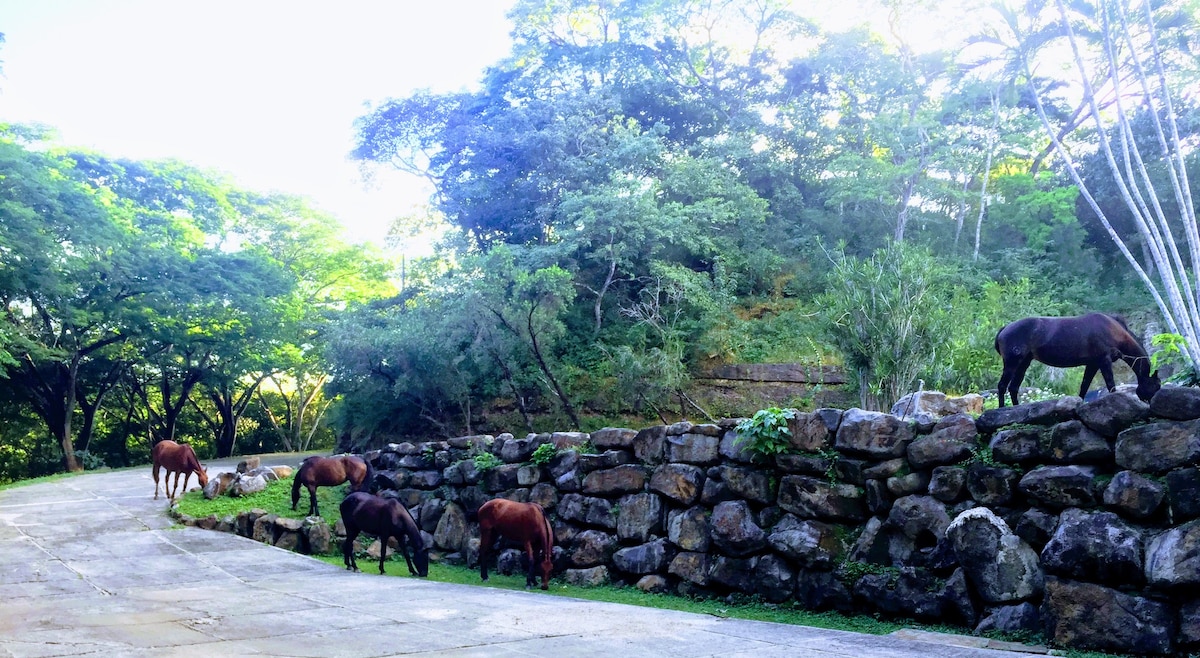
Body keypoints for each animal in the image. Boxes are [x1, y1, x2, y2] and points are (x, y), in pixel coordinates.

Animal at [993, 312, 1161, 405]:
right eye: (1156, 386)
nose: (1152, 403)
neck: (1113, 330)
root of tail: (1005, 328)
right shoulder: (1103, 361)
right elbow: (1110, 384)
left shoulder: (1092, 364)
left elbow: (1084, 387)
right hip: (1012, 363)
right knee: (1002, 386)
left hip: (1023, 363)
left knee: (1013, 388)